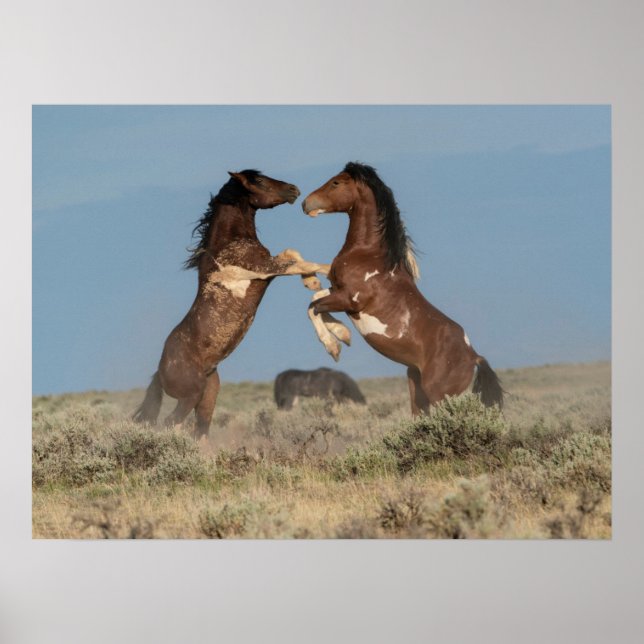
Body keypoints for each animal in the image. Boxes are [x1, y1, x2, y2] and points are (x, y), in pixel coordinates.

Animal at [133, 169, 335, 438]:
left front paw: (312, 282)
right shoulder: (265, 268)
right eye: (258, 180)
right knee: (169, 423)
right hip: (189, 397)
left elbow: (294, 255)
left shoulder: (269, 267)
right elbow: (298, 260)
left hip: (207, 397)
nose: (294, 189)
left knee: (200, 431)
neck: (229, 244)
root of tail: (160, 370)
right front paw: (328, 272)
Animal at [301, 162, 504, 415]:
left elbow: (313, 307)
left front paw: (334, 347)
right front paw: (342, 334)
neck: (368, 255)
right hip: (415, 386)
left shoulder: (349, 299)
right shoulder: (336, 290)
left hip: (439, 395)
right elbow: (315, 299)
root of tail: (474, 356)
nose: (305, 203)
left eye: (336, 182)